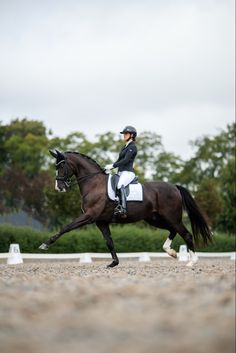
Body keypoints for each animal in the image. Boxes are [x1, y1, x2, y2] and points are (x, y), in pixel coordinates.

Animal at [38, 149, 212, 266]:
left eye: (62, 166)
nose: (59, 187)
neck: (94, 184)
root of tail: (174, 187)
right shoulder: (101, 221)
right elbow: (109, 241)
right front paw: (114, 263)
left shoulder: (89, 216)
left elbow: (66, 227)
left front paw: (45, 244)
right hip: (155, 218)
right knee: (173, 230)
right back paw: (172, 252)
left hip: (171, 217)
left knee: (186, 234)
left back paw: (191, 262)